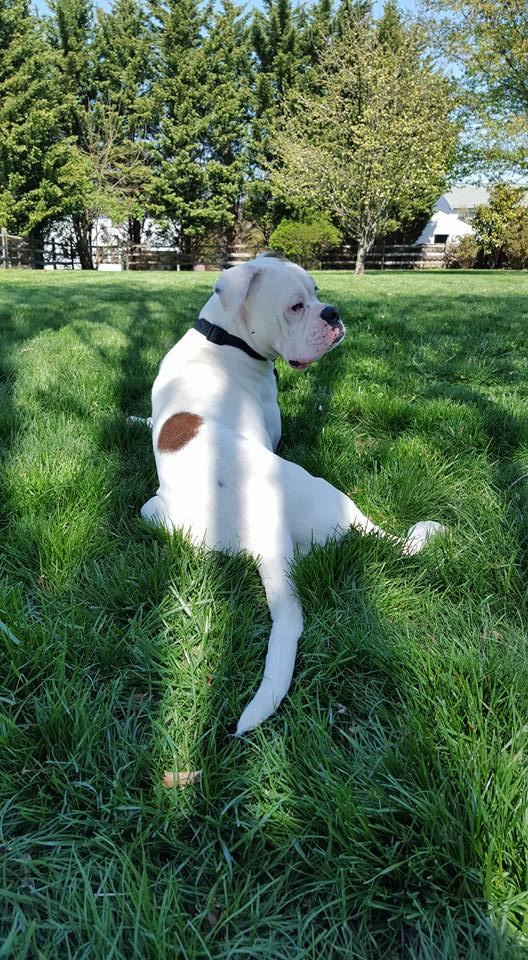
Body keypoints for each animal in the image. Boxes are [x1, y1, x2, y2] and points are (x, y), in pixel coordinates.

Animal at [141, 255, 446, 736]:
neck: (222, 336)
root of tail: (267, 538)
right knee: (388, 538)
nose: (333, 313)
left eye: (318, 292)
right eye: (297, 306)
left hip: (154, 510)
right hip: (334, 499)